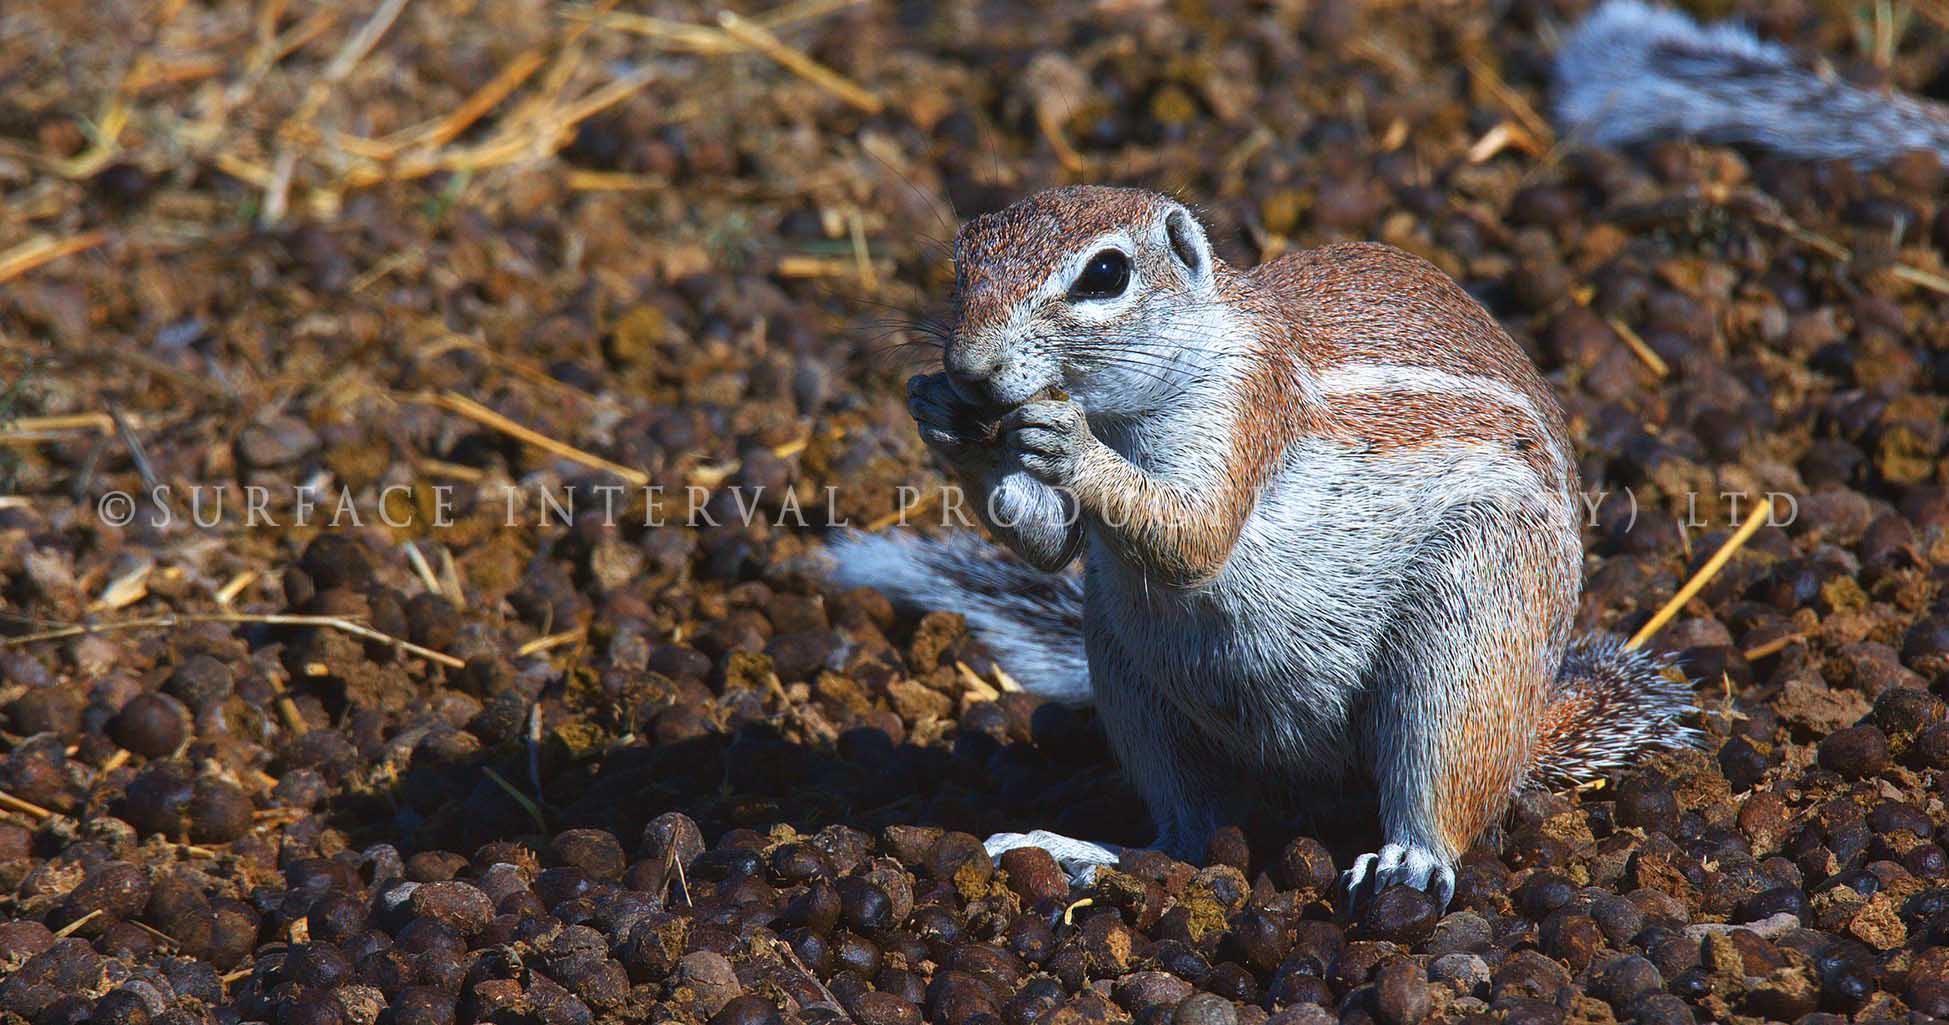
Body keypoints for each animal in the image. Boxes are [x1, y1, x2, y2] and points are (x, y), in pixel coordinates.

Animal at [830, 189, 1699, 911]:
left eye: (1105, 273)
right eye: (961, 261)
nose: (966, 367)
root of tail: (1528, 733)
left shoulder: (1244, 407)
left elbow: (1196, 533)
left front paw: (1069, 445)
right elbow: (1049, 544)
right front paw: (943, 418)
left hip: (1469, 635)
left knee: (1440, 790)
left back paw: (1410, 859)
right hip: (1128, 678)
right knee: (1187, 830)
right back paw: (1083, 851)